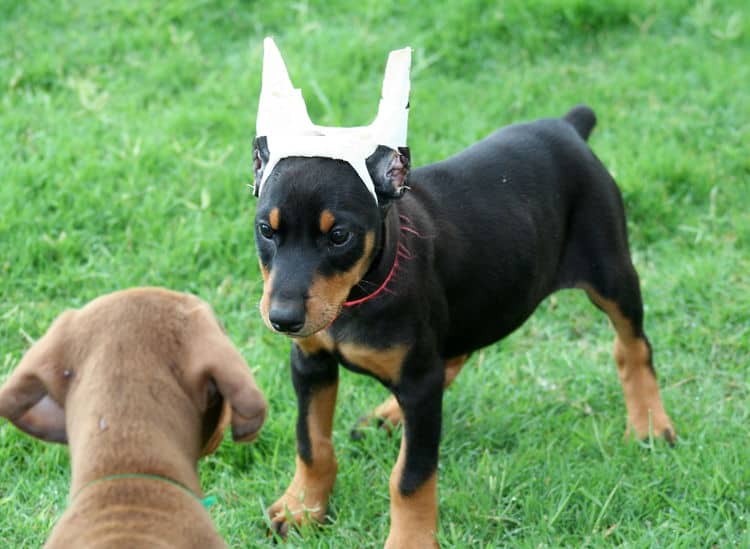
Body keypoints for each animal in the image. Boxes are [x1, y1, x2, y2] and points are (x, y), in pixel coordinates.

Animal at [256, 105, 680, 544]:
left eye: (339, 235)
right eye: (266, 230)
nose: (283, 319)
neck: (360, 294)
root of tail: (566, 126)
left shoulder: (418, 382)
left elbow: (410, 476)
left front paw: (409, 541)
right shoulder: (311, 364)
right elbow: (311, 444)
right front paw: (302, 509)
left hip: (611, 272)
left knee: (633, 346)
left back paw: (650, 424)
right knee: (456, 353)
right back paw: (388, 416)